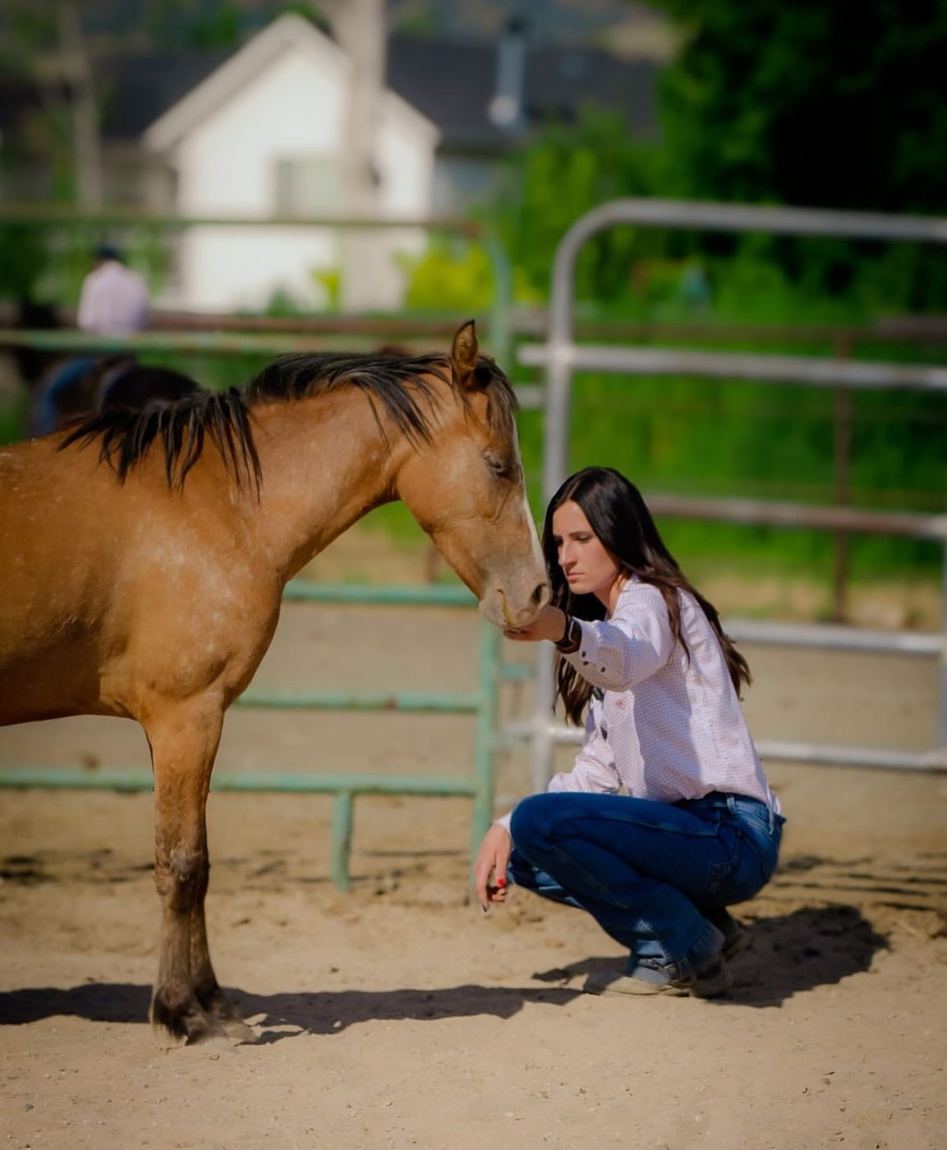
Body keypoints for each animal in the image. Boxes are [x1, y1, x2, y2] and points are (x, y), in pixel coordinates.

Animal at [0, 320, 548, 1045]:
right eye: (497, 465)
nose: (539, 592)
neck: (215, 505)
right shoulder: (186, 717)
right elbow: (183, 864)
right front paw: (185, 1013)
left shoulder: (174, 727)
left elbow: (194, 859)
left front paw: (208, 1001)